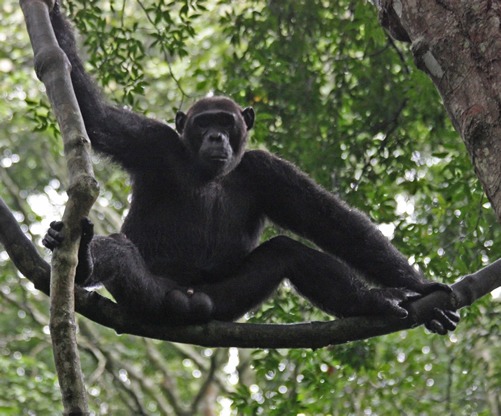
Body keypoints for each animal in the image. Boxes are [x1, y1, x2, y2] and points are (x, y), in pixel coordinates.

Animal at [42, 2, 458, 332]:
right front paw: (51, 12)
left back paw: (374, 300)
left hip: (229, 301)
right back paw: (85, 261)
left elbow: (332, 223)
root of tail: (189, 302)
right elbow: (95, 115)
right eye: (203, 123)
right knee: (120, 253)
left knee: (289, 253)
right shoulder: (149, 141)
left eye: (225, 122)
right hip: (149, 294)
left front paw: (421, 287)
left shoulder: (268, 171)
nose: (215, 137)